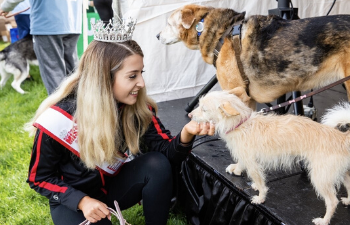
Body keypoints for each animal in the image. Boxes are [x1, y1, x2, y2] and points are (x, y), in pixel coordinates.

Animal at [190, 87, 350, 225]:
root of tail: (342, 137)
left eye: (204, 109)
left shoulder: (252, 164)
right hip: (342, 173)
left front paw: (260, 198)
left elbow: (260, 182)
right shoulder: (247, 157)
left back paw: (324, 220)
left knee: (332, 201)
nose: (190, 115)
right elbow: (243, 165)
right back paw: (348, 201)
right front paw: (238, 170)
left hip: (320, 177)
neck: (242, 124)